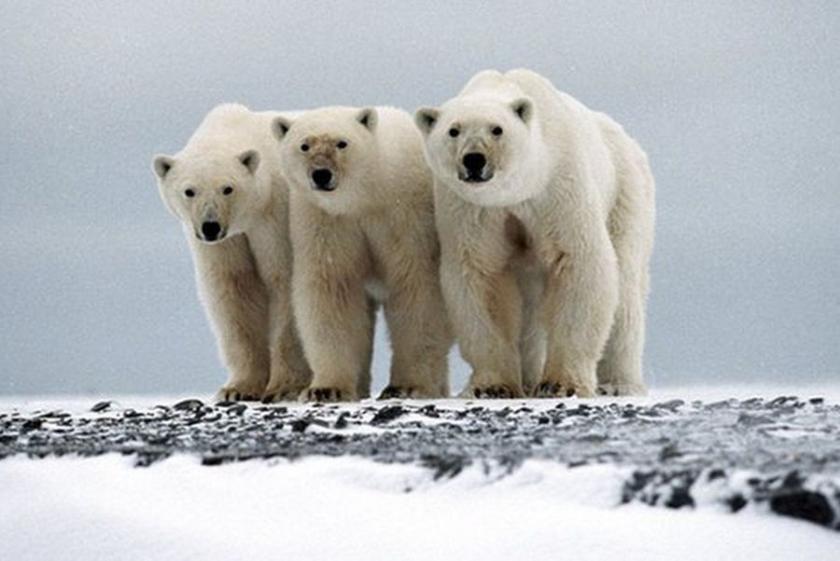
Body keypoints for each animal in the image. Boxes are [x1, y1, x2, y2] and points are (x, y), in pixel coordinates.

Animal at [152, 104, 312, 402]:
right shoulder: (225, 244)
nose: (210, 226)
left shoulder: (276, 216)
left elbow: (284, 280)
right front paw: (238, 388)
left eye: (228, 188)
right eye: (189, 191)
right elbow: (234, 289)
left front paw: (283, 387)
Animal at [270, 106, 452, 402]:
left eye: (342, 143)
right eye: (304, 145)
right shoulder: (326, 221)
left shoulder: (406, 215)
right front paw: (326, 388)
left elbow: (416, 287)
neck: (365, 196)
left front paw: (407, 385)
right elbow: (331, 291)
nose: (321, 174)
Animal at [416, 68, 656, 396]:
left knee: (626, 293)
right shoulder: (472, 209)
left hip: (625, 193)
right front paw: (491, 387)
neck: (520, 188)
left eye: (497, 129)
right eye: (454, 130)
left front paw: (561, 384)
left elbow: (579, 261)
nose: (474, 159)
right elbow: (481, 275)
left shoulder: (558, 187)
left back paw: (618, 384)